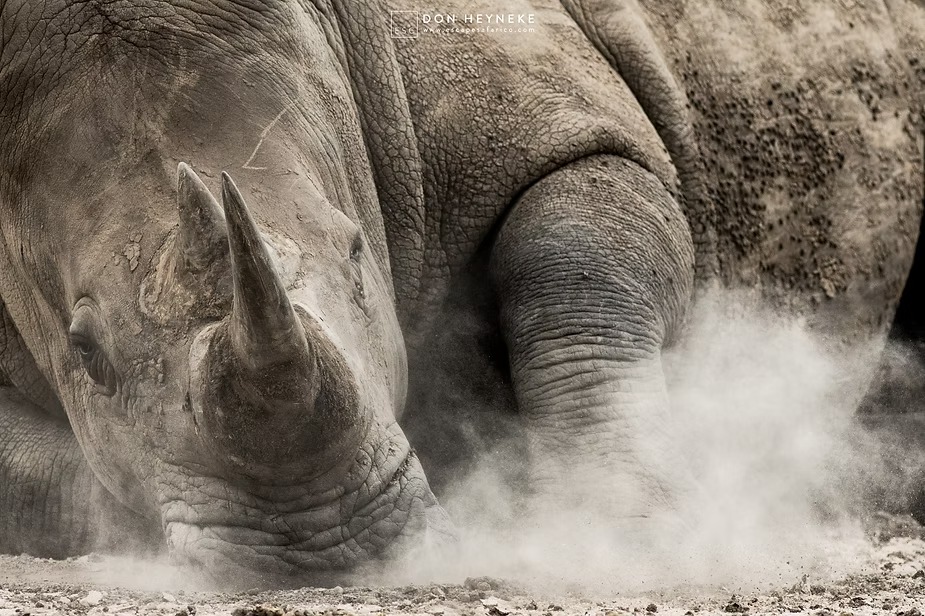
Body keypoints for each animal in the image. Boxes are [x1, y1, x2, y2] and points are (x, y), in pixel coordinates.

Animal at [0, 0, 923, 584]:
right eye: (84, 351)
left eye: (356, 249)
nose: (324, 547)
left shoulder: (558, 118)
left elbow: (577, 273)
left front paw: (614, 532)